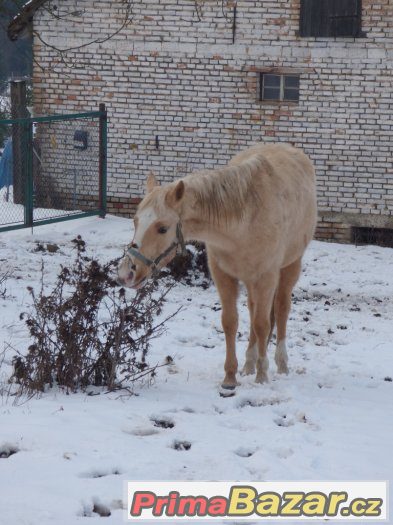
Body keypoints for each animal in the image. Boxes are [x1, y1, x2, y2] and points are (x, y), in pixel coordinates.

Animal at [118, 142, 316, 388]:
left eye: (162, 228)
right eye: (135, 221)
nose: (126, 273)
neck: (245, 220)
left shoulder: (266, 277)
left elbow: (262, 324)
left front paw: (262, 376)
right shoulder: (223, 276)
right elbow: (230, 322)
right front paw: (230, 377)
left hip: (290, 266)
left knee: (280, 309)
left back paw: (280, 363)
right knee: (252, 310)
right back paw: (248, 364)